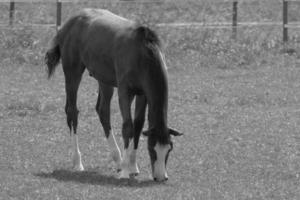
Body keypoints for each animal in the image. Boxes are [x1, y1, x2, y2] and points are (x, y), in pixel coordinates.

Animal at [44, 9, 182, 181]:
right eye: (152, 149)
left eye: (169, 149)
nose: (161, 177)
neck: (142, 54)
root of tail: (69, 23)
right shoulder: (125, 91)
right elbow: (127, 127)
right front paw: (125, 172)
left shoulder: (142, 94)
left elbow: (138, 125)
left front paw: (132, 166)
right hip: (72, 72)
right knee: (72, 111)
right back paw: (78, 162)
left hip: (104, 80)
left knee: (103, 110)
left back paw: (117, 160)